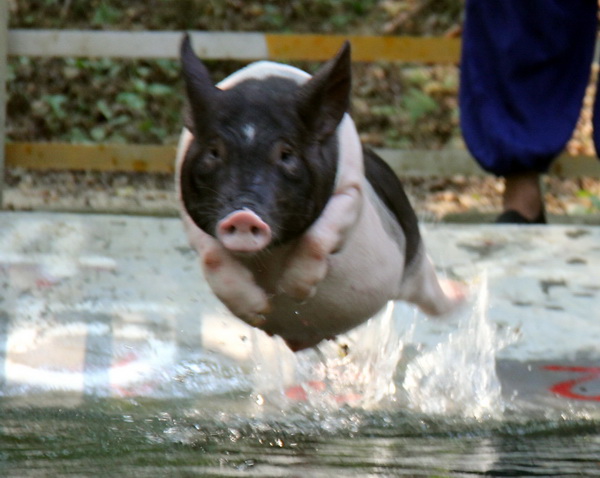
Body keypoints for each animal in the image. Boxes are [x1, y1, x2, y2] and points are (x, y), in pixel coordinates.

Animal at [175, 34, 464, 352]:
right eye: (214, 151)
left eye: (286, 154)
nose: (242, 215)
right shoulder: (188, 209)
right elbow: (211, 255)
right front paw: (260, 309)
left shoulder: (350, 191)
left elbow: (319, 237)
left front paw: (294, 292)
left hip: (413, 260)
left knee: (433, 297)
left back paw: (463, 294)